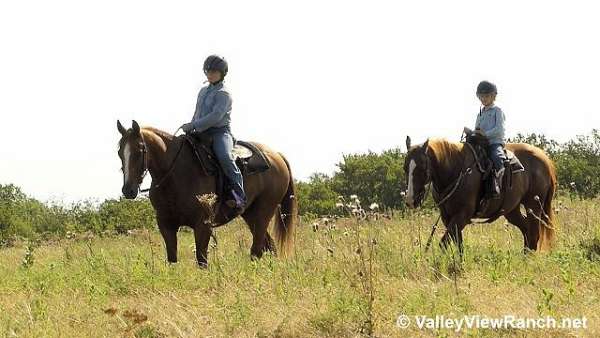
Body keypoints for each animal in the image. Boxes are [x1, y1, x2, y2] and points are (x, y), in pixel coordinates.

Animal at [116, 121, 296, 266]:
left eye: (140, 149)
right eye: (119, 152)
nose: (128, 190)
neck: (175, 173)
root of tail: (277, 156)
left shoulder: (203, 225)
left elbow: (202, 260)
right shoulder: (166, 225)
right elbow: (172, 259)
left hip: (262, 214)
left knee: (257, 250)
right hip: (251, 215)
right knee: (269, 246)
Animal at [404, 135, 556, 254]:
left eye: (422, 168)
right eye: (405, 168)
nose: (411, 200)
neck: (457, 170)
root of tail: (544, 158)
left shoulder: (462, 215)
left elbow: (444, 243)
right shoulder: (448, 217)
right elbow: (458, 244)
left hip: (533, 205)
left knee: (534, 235)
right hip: (512, 210)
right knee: (526, 230)